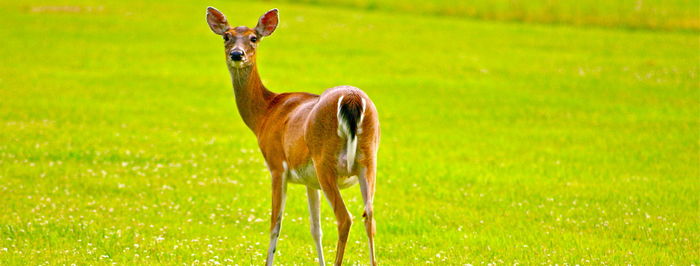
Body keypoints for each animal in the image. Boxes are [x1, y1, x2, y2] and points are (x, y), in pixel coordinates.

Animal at [205, 6, 380, 266]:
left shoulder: (277, 165)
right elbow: (315, 229)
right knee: (369, 216)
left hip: (325, 161)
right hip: (367, 160)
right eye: (226, 36)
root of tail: (352, 99)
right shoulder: (310, 181)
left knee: (345, 218)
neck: (265, 114)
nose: (237, 54)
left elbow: (275, 223)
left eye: (253, 38)